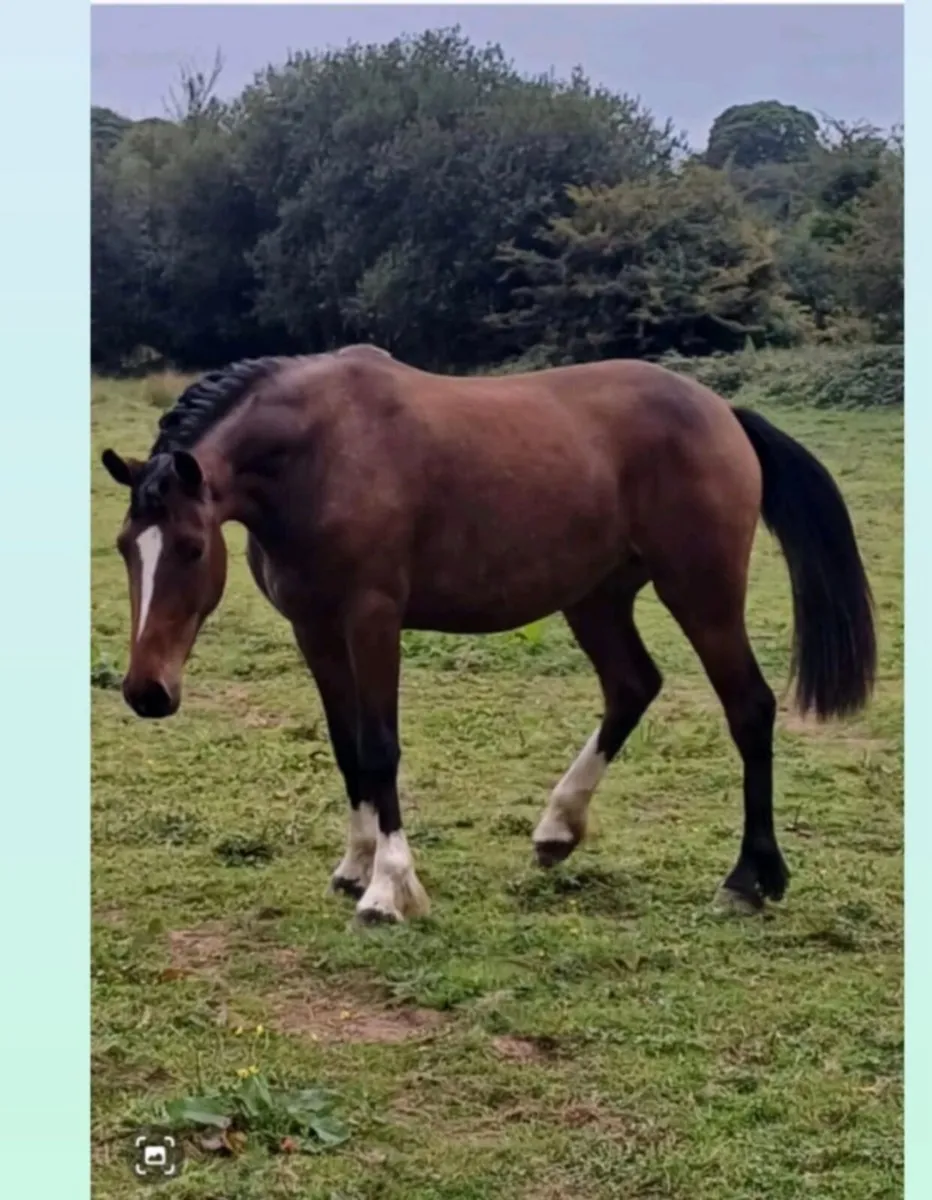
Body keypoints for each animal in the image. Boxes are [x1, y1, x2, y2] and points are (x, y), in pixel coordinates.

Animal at [100, 344, 876, 924]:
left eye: (191, 548)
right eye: (124, 547)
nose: (146, 691)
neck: (321, 453)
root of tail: (723, 413)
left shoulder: (372, 620)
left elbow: (379, 748)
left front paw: (389, 889)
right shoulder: (314, 630)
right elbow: (347, 750)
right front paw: (355, 866)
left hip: (701, 593)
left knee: (749, 707)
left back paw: (750, 878)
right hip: (596, 597)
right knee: (632, 686)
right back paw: (558, 828)